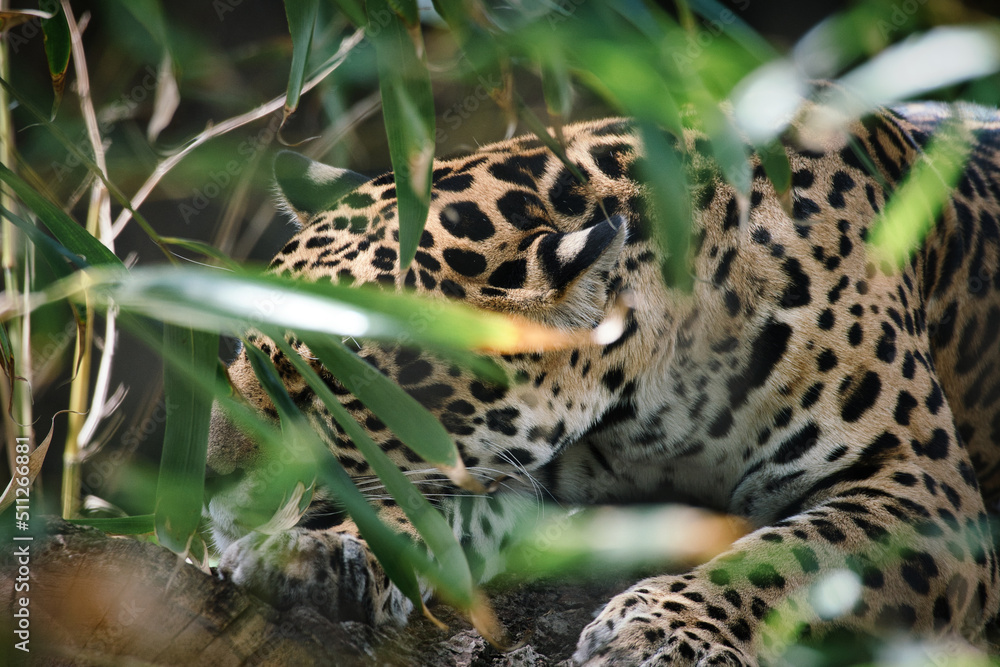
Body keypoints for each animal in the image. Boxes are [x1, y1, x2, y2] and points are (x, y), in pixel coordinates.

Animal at [205, 97, 1000, 666]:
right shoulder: (517, 477)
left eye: (344, 383)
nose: (209, 478)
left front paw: (661, 632)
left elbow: (795, 556)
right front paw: (318, 552)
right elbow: (417, 508)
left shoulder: (924, 487)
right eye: (240, 344)